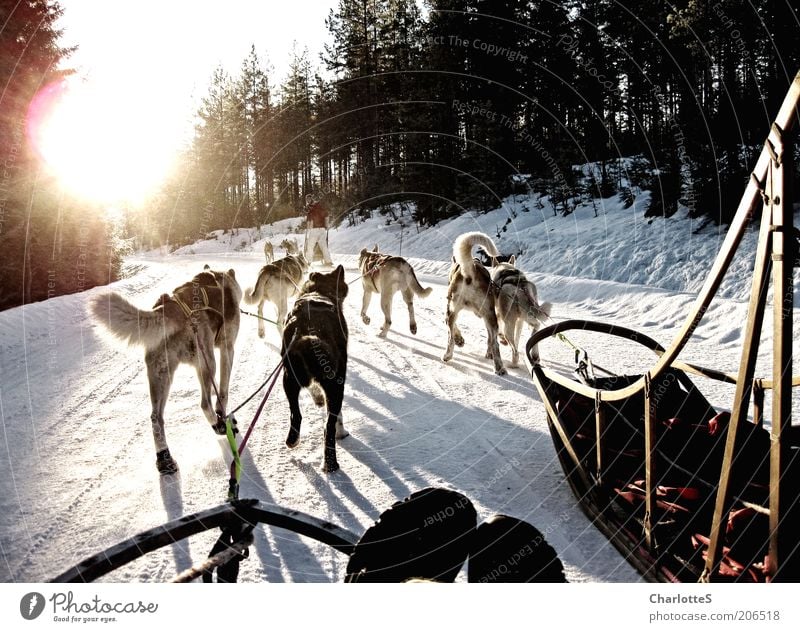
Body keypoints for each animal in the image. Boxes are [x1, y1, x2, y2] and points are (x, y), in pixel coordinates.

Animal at [88, 266, 241, 474]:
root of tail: (169, 308)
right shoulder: (227, 349)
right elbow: (222, 392)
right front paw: (222, 414)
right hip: (207, 361)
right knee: (204, 404)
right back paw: (218, 425)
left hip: (161, 375)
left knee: (156, 418)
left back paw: (164, 458)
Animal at [282, 264, 348, 472]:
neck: (319, 291)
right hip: (335, 387)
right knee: (329, 427)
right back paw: (331, 463)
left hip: (288, 380)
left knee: (295, 414)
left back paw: (293, 440)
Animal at [440, 232, 504, 376]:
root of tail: (470, 270)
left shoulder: (449, 310)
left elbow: (453, 328)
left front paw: (460, 340)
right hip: (490, 317)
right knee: (494, 343)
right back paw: (499, 368)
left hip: (453, 310)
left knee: (450, 336)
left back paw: (447, 355)